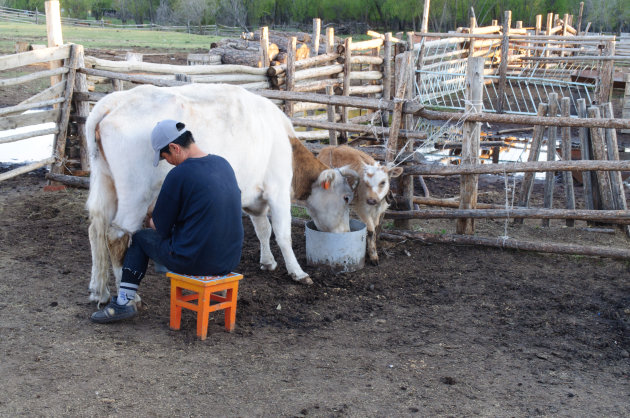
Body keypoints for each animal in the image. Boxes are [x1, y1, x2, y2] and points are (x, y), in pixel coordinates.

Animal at [85, 83, 356, 304]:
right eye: (346, 198)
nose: (345, 233)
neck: (286, 145)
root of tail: (115, 102)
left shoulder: (254, 198)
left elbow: (263, 230)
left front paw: (268, 261)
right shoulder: (278, 190)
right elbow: (282, 234)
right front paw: (298, 272)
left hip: (104, 182)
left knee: (96, 228)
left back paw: (99, 291)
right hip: (136, 193)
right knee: (116, 235)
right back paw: (129, 298)